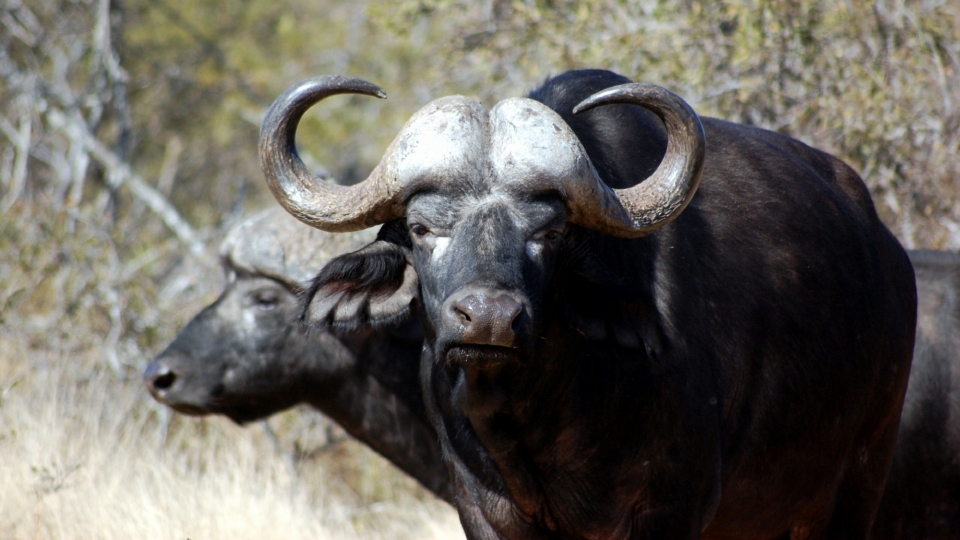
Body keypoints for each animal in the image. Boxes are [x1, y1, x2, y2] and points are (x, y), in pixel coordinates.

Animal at [260, 69, 916, 536]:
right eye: (421, 228)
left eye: (549, 232)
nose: (489, 320)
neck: (543, 416)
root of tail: (891, 257)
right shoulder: (480, 510)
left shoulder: (671, 511)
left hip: (856, 486)